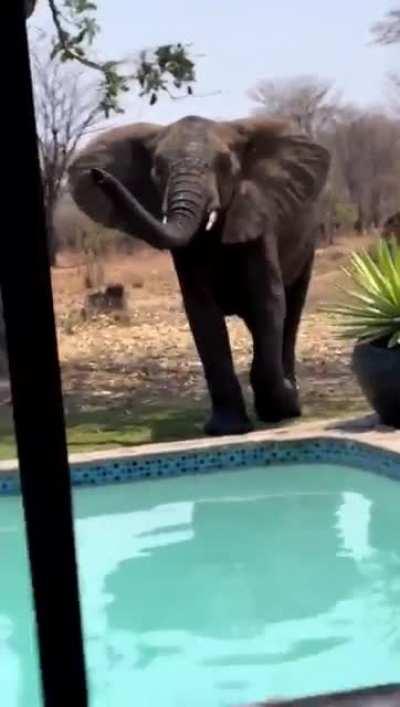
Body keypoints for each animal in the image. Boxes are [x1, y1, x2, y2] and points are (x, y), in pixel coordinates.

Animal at [68, 115, 330, 436]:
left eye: (224, 165)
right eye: (157, 170)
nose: (98, 175)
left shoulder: (258, 214)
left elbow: (267, 301)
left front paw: (279, 410)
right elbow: (203, 315)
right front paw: (226, 428)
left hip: (308, 245)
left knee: (290, 311)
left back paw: (290, 399)